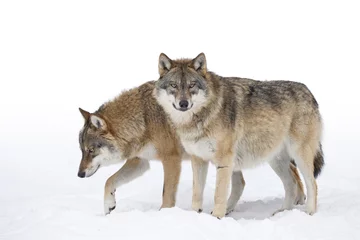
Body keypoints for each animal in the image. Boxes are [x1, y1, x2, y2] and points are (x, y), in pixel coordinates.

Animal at [154, 53, 324, 218]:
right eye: (174, 85)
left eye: (191, 85)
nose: (183, 103)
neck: (200, 117)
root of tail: (309, 92)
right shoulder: (198, 159)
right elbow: (197, 193)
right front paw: (195, 215)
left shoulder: (224, 160)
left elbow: (219, 194)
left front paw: (217, 217)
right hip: (275, 160)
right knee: (291, 184)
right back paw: (282, 213)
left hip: (299, 155)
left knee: (312, 183)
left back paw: (309, 212)